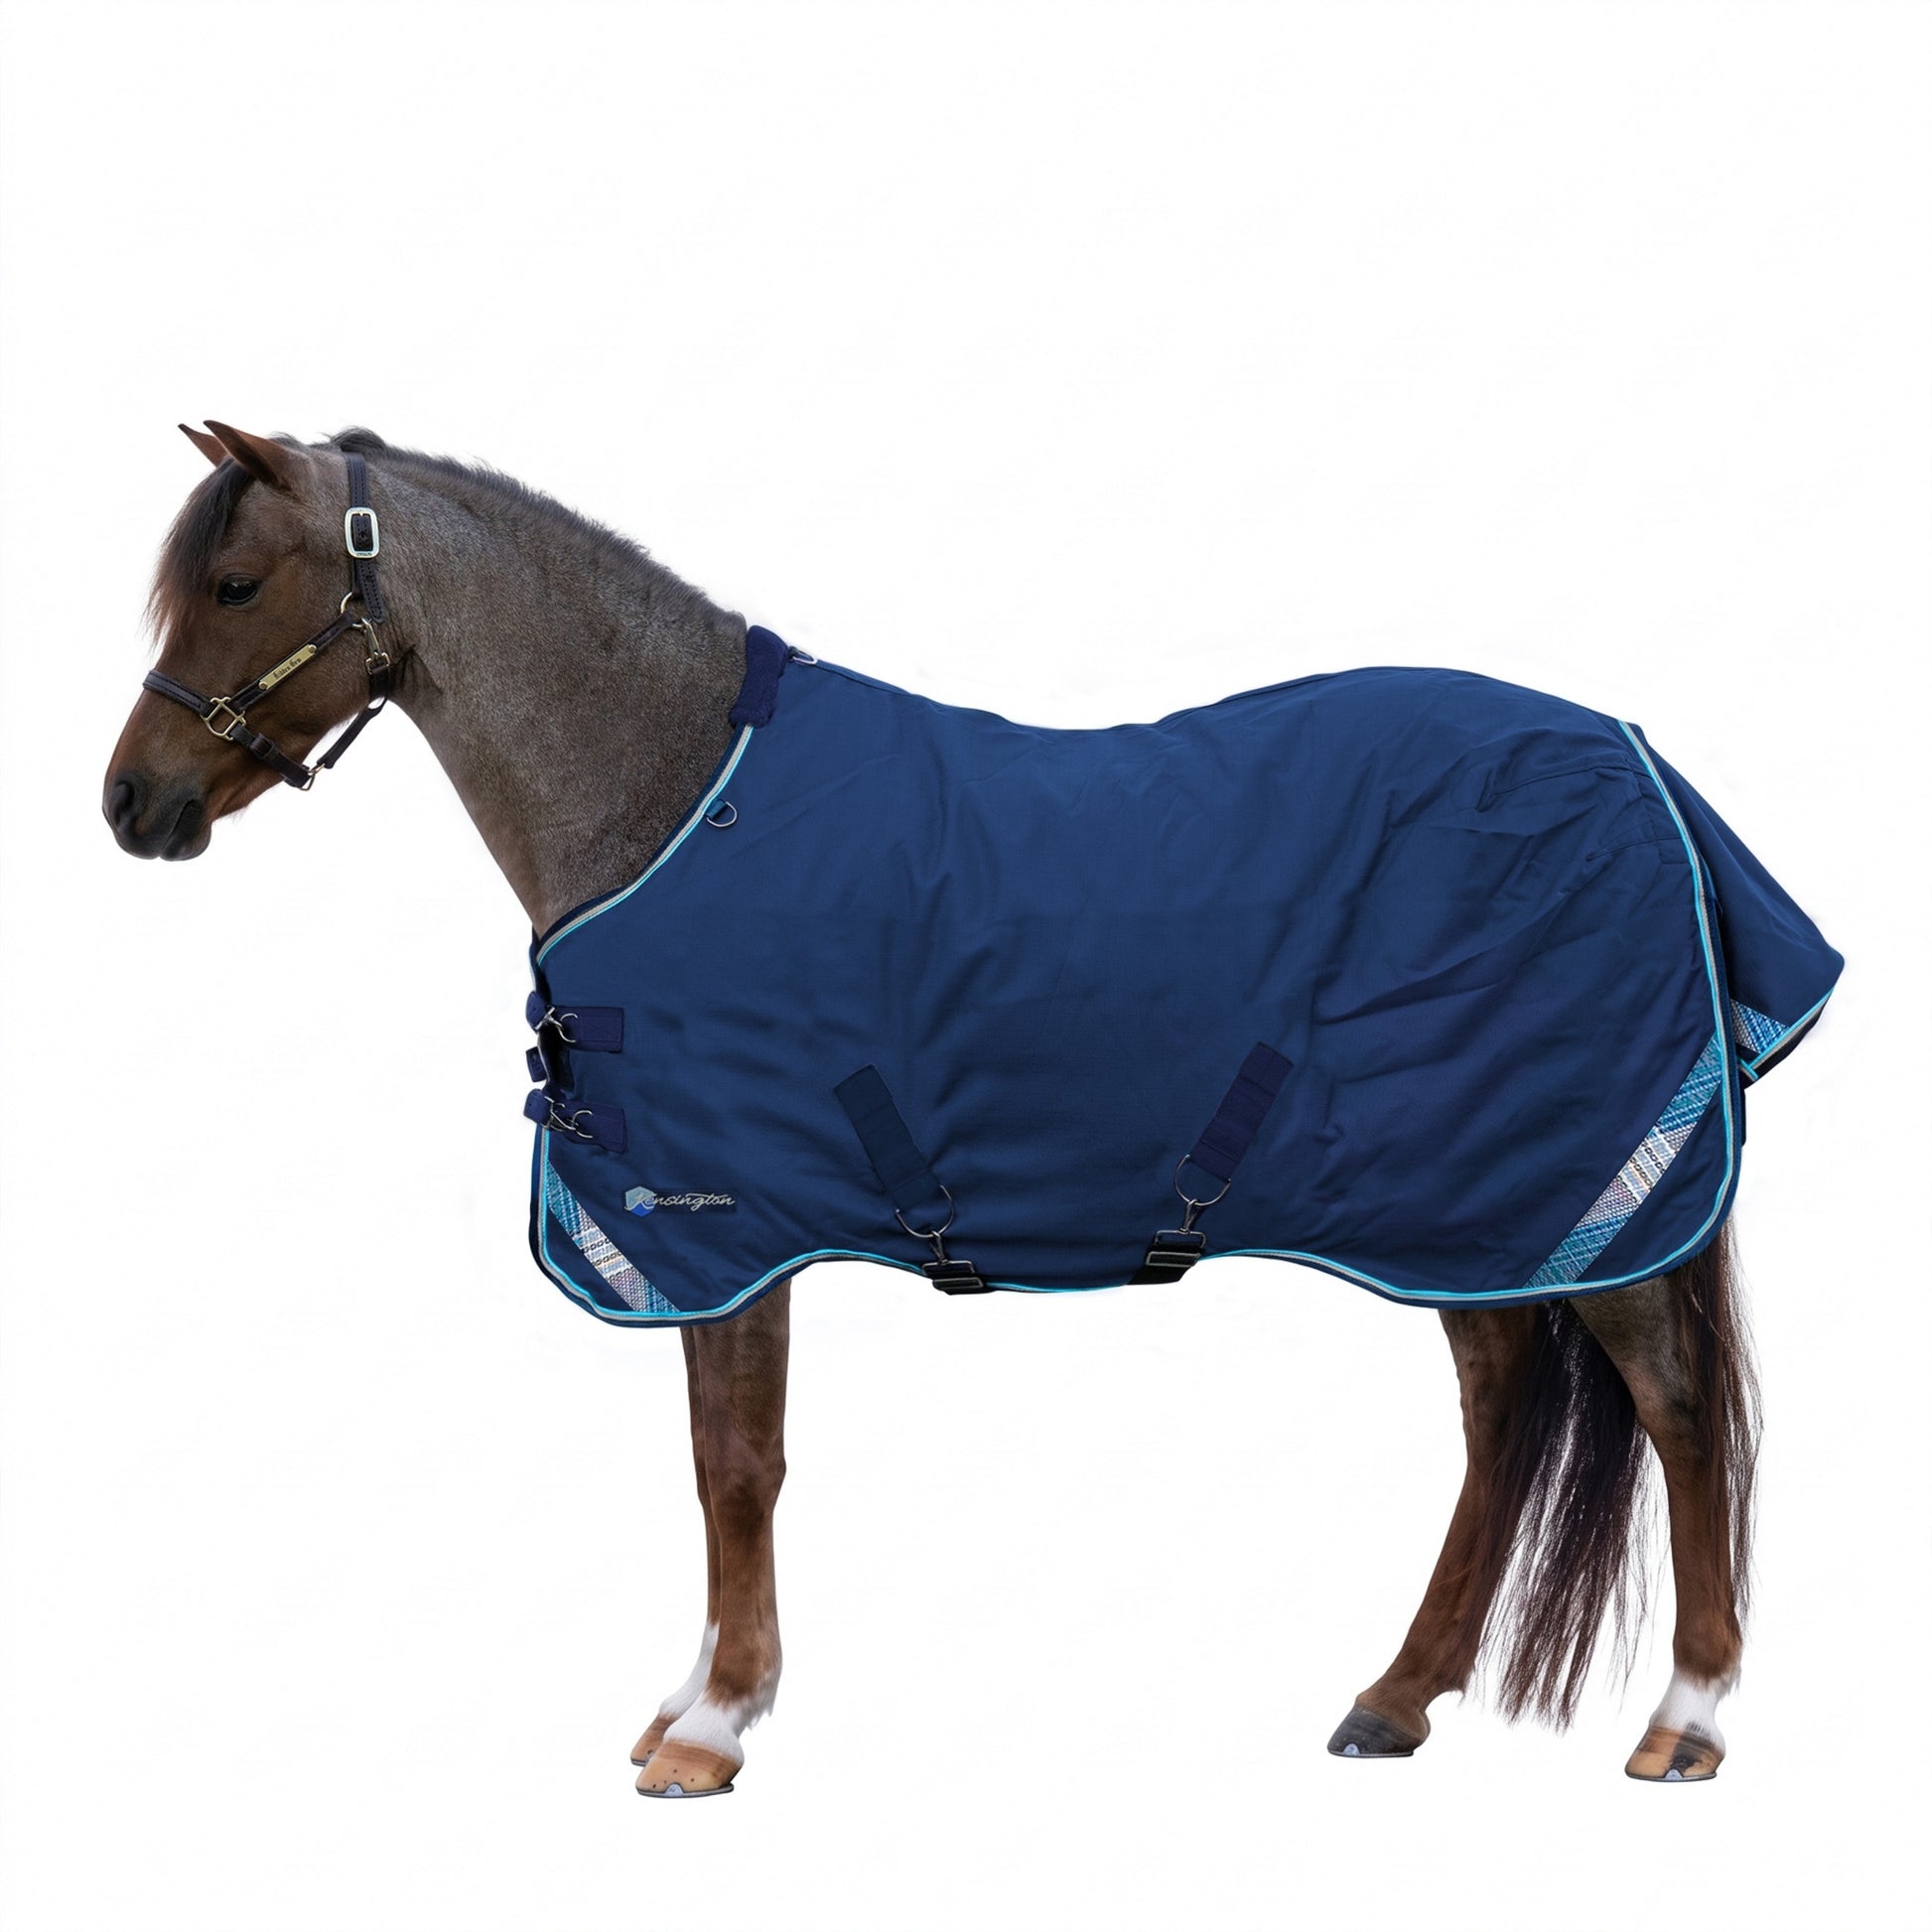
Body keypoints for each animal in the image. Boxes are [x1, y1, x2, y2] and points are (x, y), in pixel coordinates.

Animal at [105, 420, 1825, 1797]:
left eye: (237, 584)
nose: (133, 804)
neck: (671, 794)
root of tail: (1635, 761)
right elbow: (717, 1457)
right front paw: (697, 1696)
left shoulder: (732, 1223)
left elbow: (737, 1462)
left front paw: (713, 1726)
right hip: (1471, 1203)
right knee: (1498, 1414)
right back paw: (1394, 1699)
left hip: (1580, 1185)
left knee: (1673, 1408)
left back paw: (1685, 1716)